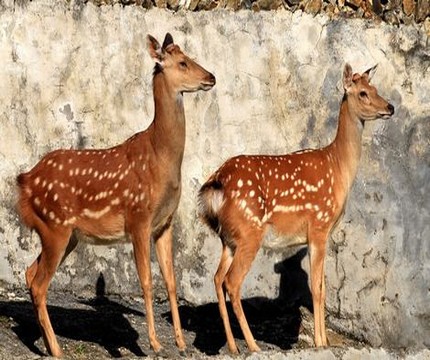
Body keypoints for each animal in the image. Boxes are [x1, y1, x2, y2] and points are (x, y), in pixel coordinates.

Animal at [15, 33, 215, 358]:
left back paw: (47, 344)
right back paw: (57, 349)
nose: (211, 77)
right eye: (183, 62)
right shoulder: (138, 217)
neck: (161, 157)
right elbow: (146, 281)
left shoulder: (164, 223)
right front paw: (154, 343)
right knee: (39, 284)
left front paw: (181, 343)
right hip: (55, 225)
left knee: (30, 272)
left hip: (65, 234)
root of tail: (24, 182)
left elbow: (171, 281)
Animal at [198, 63, 394, 352]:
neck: (338, 167)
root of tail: (217, 182)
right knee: (232, 282)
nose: (390, 107)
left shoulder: (320, 235)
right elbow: (317, 288)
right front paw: (321, 343)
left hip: (228, 239)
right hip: (249, 232)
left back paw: (233, 347)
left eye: (375, 88)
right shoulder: (320, 226)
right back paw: (253, 345)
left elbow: (322, 286)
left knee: (216, 277)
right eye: (362, 93)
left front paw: (322, 341)